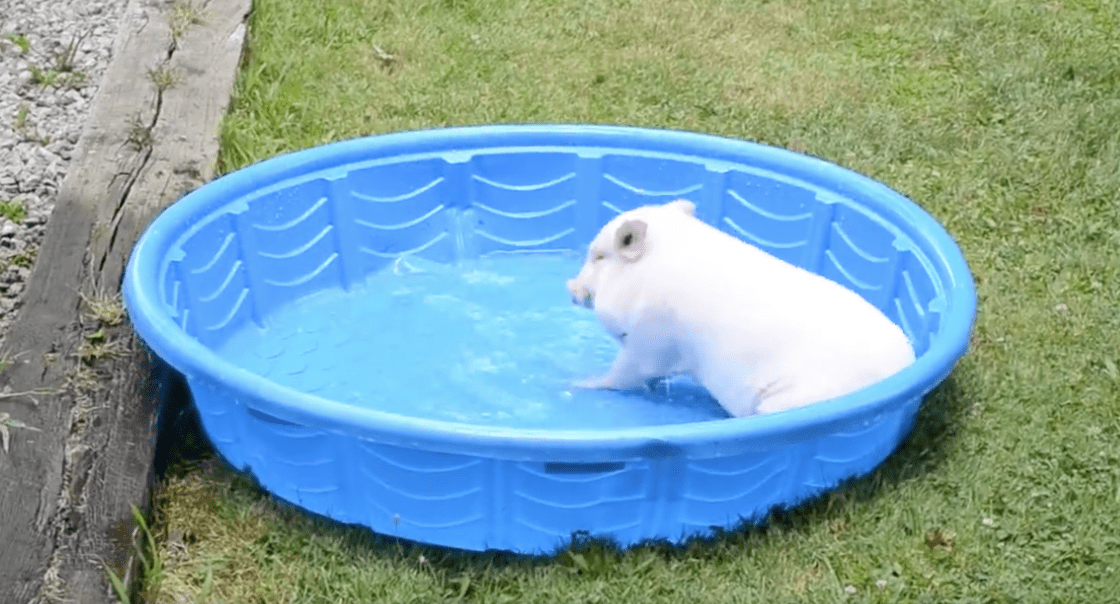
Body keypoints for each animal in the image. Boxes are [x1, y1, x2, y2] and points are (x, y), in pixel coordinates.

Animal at [565, 199, 915, 417]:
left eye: (599, 256)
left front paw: (579, 383)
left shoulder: (653, 337)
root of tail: (902, 370)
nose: (570, 287)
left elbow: (625, 373)